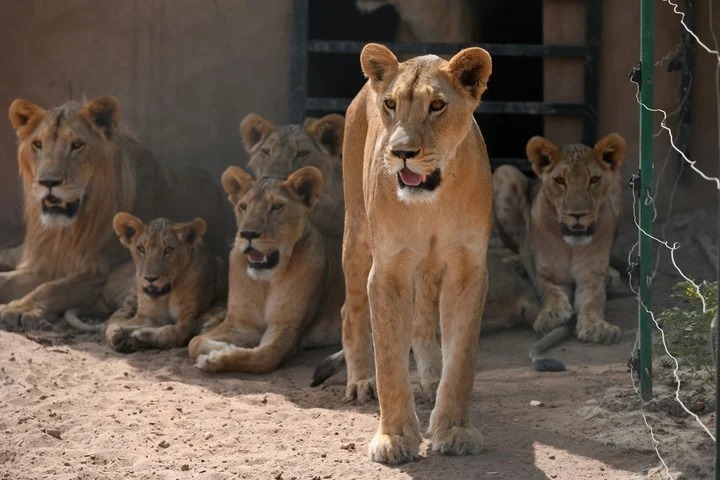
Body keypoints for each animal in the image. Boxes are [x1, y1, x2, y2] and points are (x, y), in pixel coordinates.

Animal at [0, 97, 225, 330]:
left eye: (77, 145)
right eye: (38, 144)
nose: (47, 182)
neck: (68, 230)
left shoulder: (101, 275)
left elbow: (53, 288)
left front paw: (20, 308)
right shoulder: (45, 261)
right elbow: (8, 280)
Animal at [340, 45, 492, 464]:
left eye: (437, 105)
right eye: (391, 104)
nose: (402, 153)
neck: (431, 202)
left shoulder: (467, 270)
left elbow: (461, 360)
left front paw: (454, 430)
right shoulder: (388, 271)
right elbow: (390, 362)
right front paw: (394, 439)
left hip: (427, 265)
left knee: (424, 319)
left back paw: (430, 378)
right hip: (356, 231)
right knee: (349, 309)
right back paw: (360, 382)